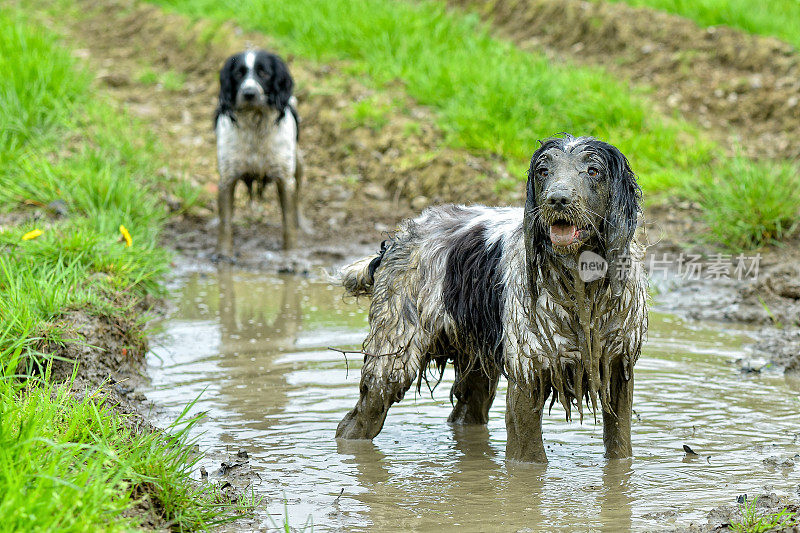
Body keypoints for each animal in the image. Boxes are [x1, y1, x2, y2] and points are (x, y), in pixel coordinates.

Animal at [216, 50, 304, 258]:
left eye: (264, 73)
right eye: (238, 74)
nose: (249, 93)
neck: (255, 123)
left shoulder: (285, 180)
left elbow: (288, 223)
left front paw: (292, 258)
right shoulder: (227, 178)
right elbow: (225, 223)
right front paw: (223, 256)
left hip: (299, 163)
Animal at [336, 134, 648, 462]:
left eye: (593, 171)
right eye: (543, 171)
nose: (557, 200)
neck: (581, 285)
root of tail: (400, 236)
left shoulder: (618, 365)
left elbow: (620, 446)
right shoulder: (529, 369)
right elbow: (529, 459)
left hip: (475, 358)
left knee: (466, 412)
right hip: (394, 354)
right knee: (358, 419)